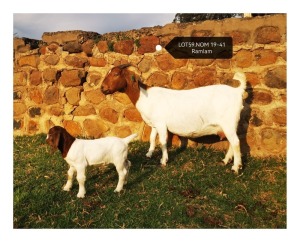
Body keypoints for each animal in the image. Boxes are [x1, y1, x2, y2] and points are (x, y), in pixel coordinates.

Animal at [101, 64, 246, 174]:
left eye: (116, 74)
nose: (102, 88)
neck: (144, 97)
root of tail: (237, 91)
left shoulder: (161, 123)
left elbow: (163, 142)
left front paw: (164, 160)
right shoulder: (154, 124)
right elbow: (152, 138)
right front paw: (149, 154)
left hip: (228, 123)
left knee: (236, 142)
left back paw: (235, 167)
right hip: (229, 125)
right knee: (232, 142)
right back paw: (226, 161)